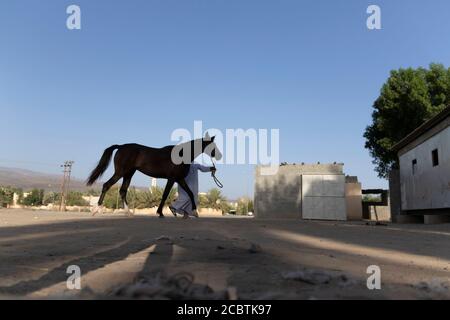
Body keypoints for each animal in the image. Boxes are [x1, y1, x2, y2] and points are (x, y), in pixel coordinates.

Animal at [85, 132, 221, 218]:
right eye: (212, 145)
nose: (219, 155)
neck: (181, 154)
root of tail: (121, 146)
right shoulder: (172, 178)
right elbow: (165, 195)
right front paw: (160, 212)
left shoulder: (179, 179)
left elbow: (190, 193)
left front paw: (194, 212)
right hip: (120, 172)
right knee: (106, 185)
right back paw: (96, 210)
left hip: (129, 174)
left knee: (123, 191)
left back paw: (128, 213)